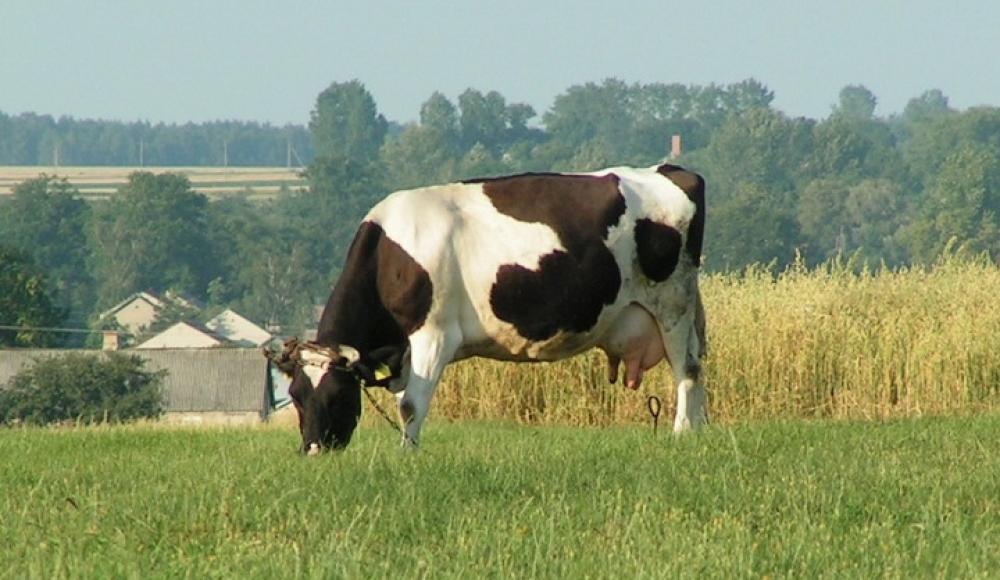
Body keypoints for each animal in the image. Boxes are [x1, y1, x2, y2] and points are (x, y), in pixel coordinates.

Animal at [270, 163, 707, 454]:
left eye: (337, 395)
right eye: (295, 395)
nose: (313, 451)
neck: (390, 254)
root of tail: (669, 170)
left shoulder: (433, 335)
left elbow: (411, 405)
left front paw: (407, 455)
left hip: (673, 305)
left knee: (685, 369)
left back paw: (682, 432)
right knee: (696, 364)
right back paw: (701, 429)